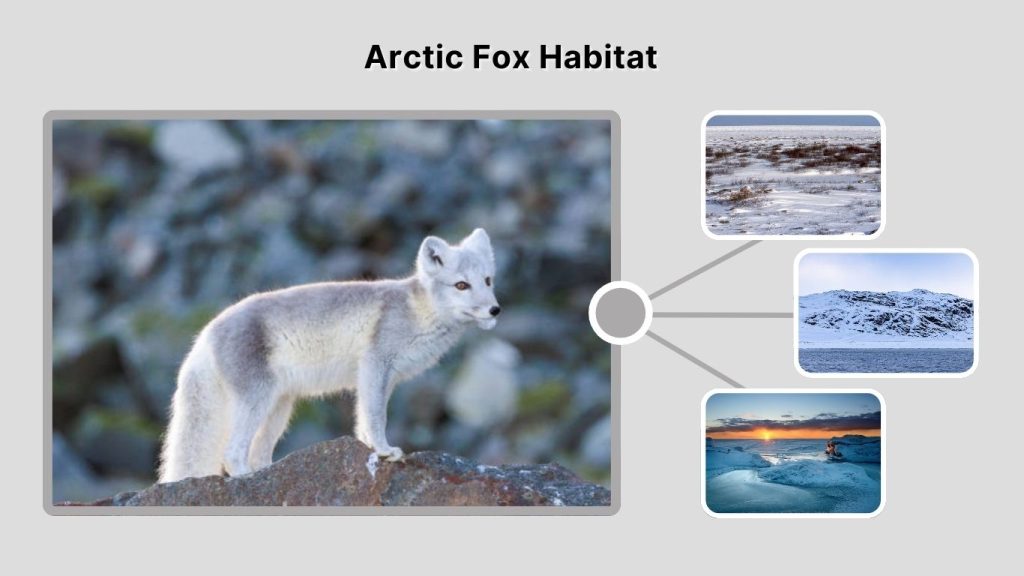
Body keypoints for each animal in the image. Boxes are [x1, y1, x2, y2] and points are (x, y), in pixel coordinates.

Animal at [157, 228, 500, 483]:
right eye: (461, 285)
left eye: (487, 280)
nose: (495, 310)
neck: (420, 312)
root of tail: (206, 334)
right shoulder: (376, 364)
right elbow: (377, 417)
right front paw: (385, 450)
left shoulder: (381, 378)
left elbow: (364, 419)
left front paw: (371, 449)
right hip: (256, 399)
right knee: (232, 453)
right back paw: (244, 478)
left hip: (279, 408)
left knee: (258, 454)